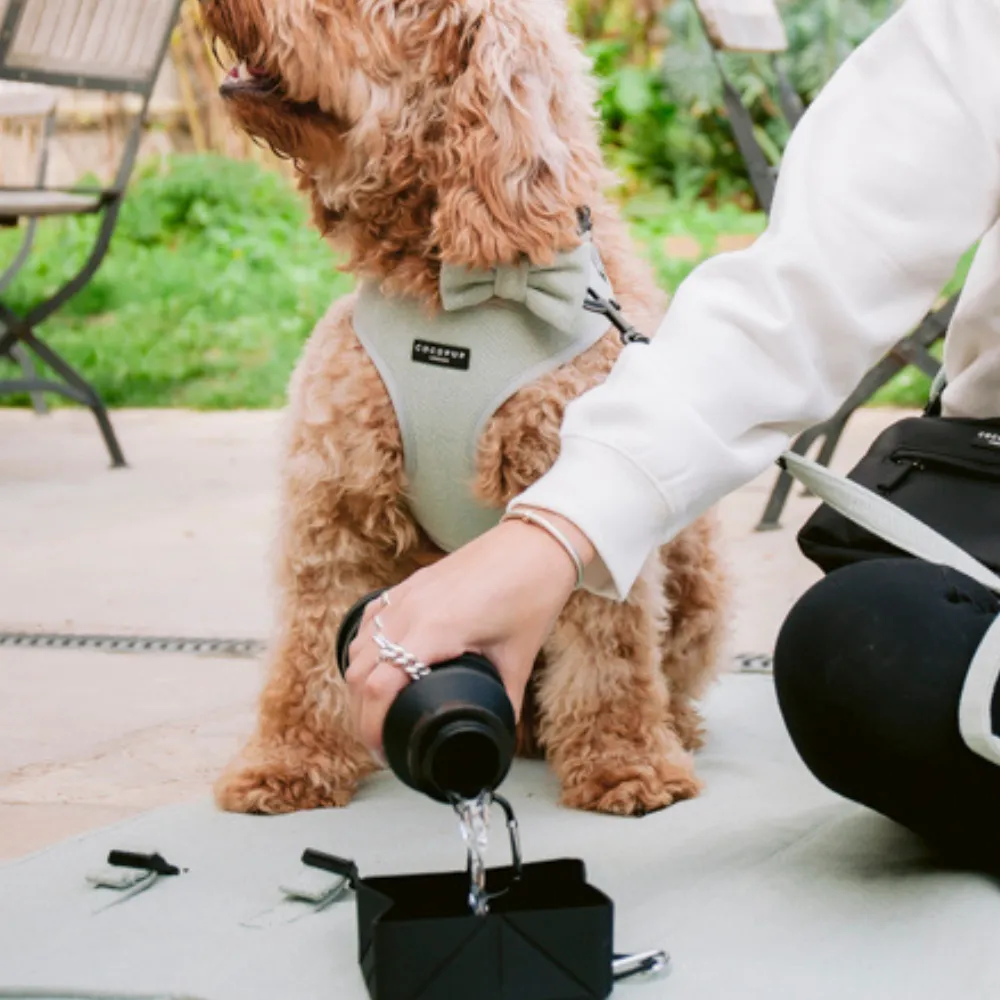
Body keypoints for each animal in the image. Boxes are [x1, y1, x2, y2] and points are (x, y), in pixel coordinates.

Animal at [205, 0, 728, 816]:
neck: (456, 297)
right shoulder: (332, 509)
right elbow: (304, 655)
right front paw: (286, 763)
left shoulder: (579, 506)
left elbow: (610, 656)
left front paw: (627, 764)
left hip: (700, 572)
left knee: (667, 672)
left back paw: (659, 727)